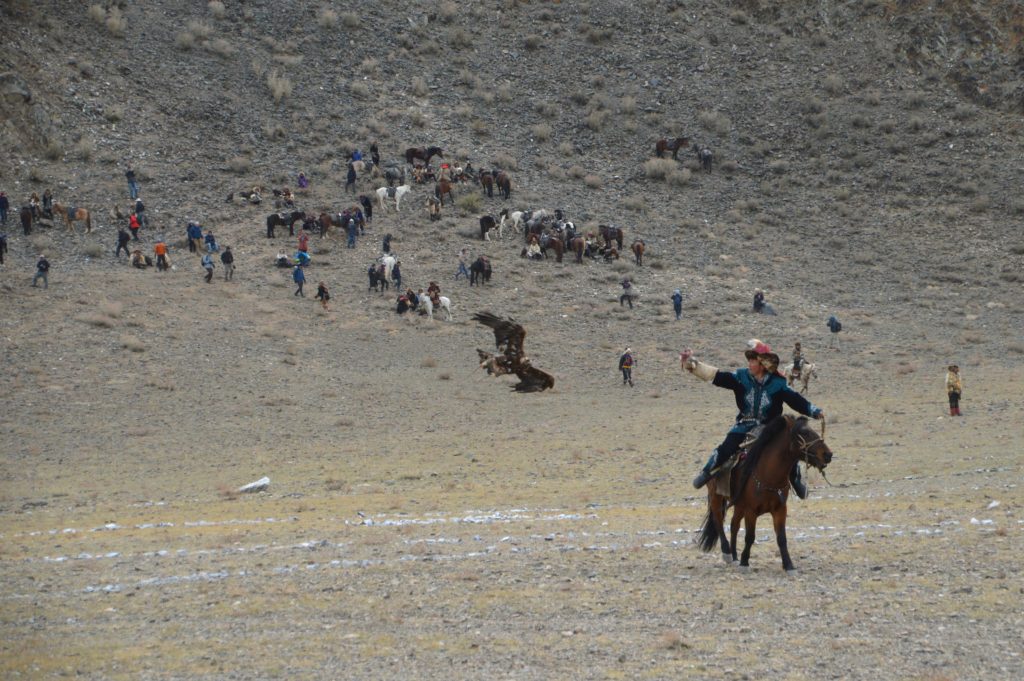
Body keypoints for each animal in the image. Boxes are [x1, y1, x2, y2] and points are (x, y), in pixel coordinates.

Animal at [696, 413, 831, 569]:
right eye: (804, 432)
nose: (828, 454)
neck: (769, 475)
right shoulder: (751, 510)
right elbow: (750, 537)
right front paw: (744, 562)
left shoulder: (780, 509)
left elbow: (781, 538)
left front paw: (788, 565)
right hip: (716, 497)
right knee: (718, 520)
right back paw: (727, 553)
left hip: (739, 505)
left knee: (734, 525)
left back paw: (734, 555)